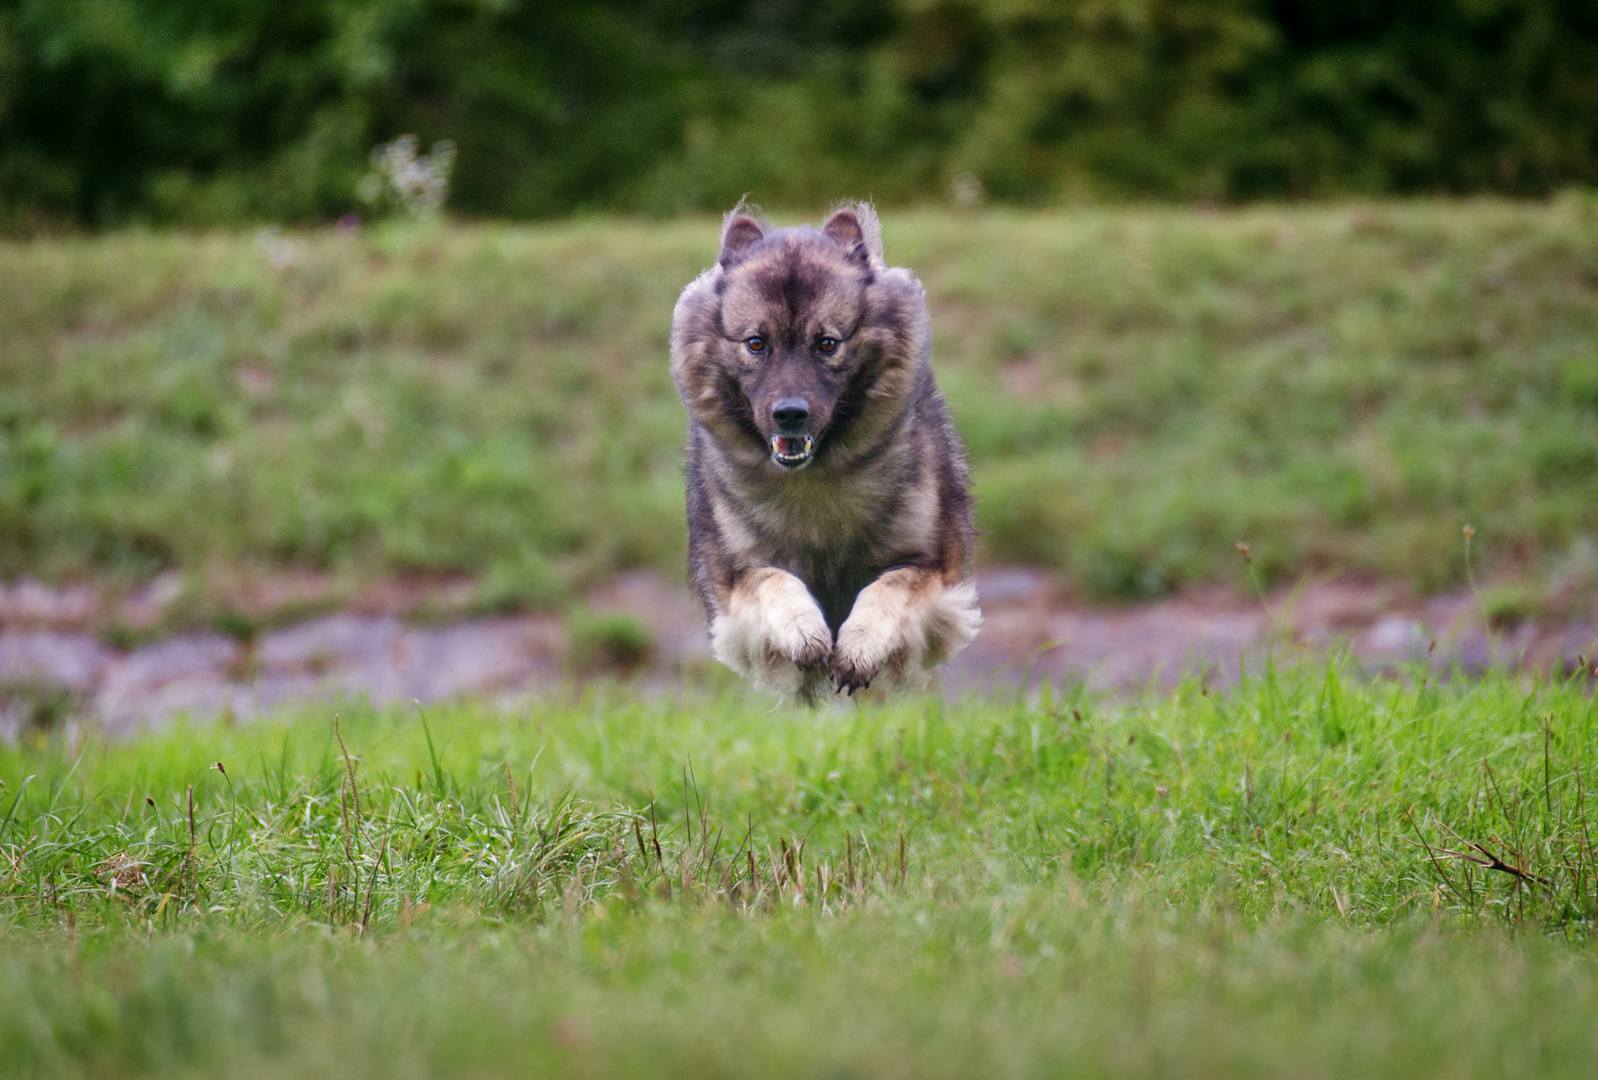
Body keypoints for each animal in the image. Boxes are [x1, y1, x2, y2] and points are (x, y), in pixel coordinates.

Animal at [667, 203, 977, 702]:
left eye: (827, 343)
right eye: (756, 343)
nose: (790, 413)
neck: (815, 478)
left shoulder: (935, 570)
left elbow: (889, 586)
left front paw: (859, 647)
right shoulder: (732, 579)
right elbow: (774, 580)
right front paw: (806, 632)